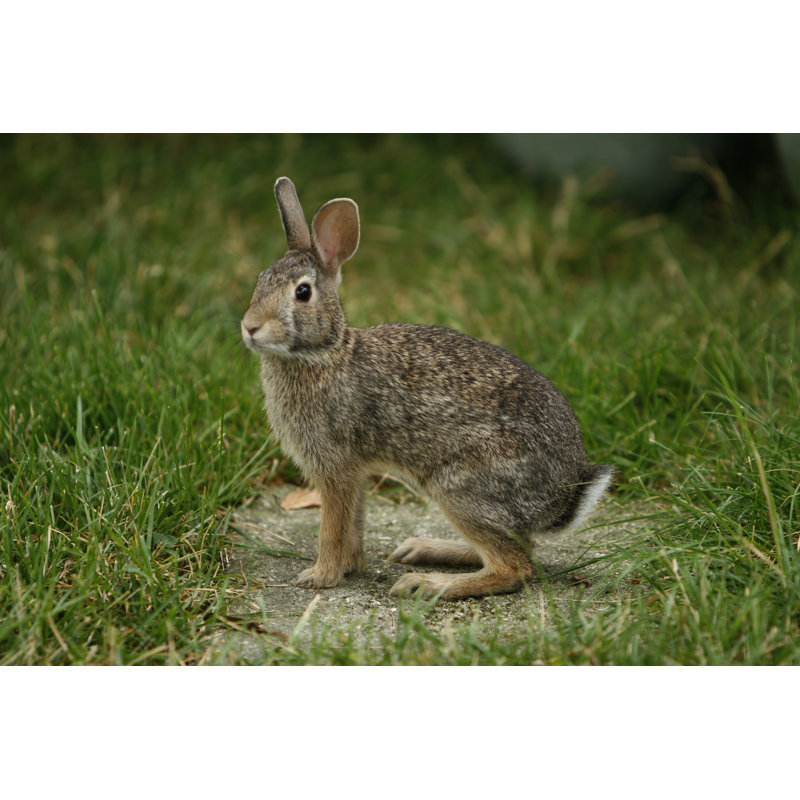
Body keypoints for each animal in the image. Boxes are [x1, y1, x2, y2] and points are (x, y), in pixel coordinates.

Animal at [241, 177, 614, 601]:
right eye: (260, 280)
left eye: (302, 293)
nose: (250, 327)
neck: (324, 354)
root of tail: (563, 496)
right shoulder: (355, 471)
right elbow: (354, 521)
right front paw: (350, 567)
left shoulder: (335, 468)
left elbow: (332, 527)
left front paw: (320, 576)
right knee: (521, 546)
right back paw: (422, 550)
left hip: (460, 488)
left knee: (514, 566)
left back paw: (425, 583)